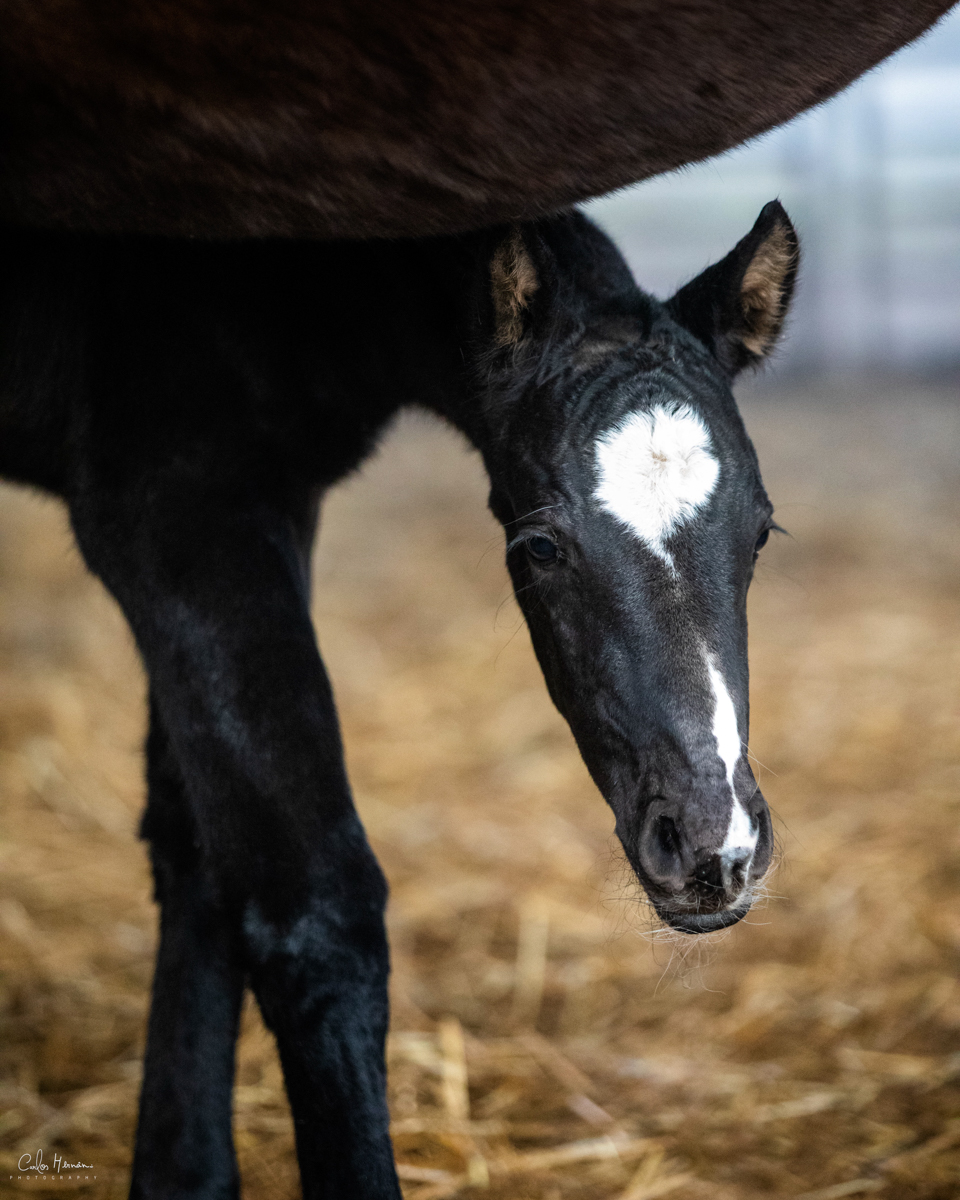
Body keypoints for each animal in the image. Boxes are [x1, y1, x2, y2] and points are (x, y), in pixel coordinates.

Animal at [0, 201, 796, 1195]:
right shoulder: (172, 505)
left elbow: (197, 852)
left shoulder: (272, 507)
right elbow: (314, 908)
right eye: (539, 546)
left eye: (760, 532)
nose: (712, 849)